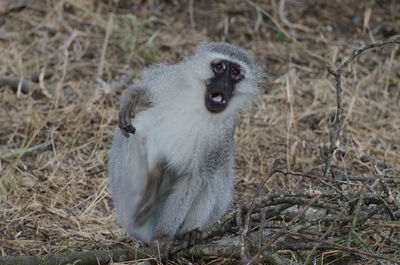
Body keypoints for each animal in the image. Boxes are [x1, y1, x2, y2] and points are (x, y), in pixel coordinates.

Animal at [108, 41, 262, 258]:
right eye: (220, 67)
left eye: (236, 73)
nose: (224, 84)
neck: (199, 106)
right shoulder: (171, 79)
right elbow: (147, 94)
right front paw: (132, 96)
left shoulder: (220, 136)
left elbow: (194, 177)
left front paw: (163, 237)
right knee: (139, 129)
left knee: (216, 171)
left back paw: (188, 230)